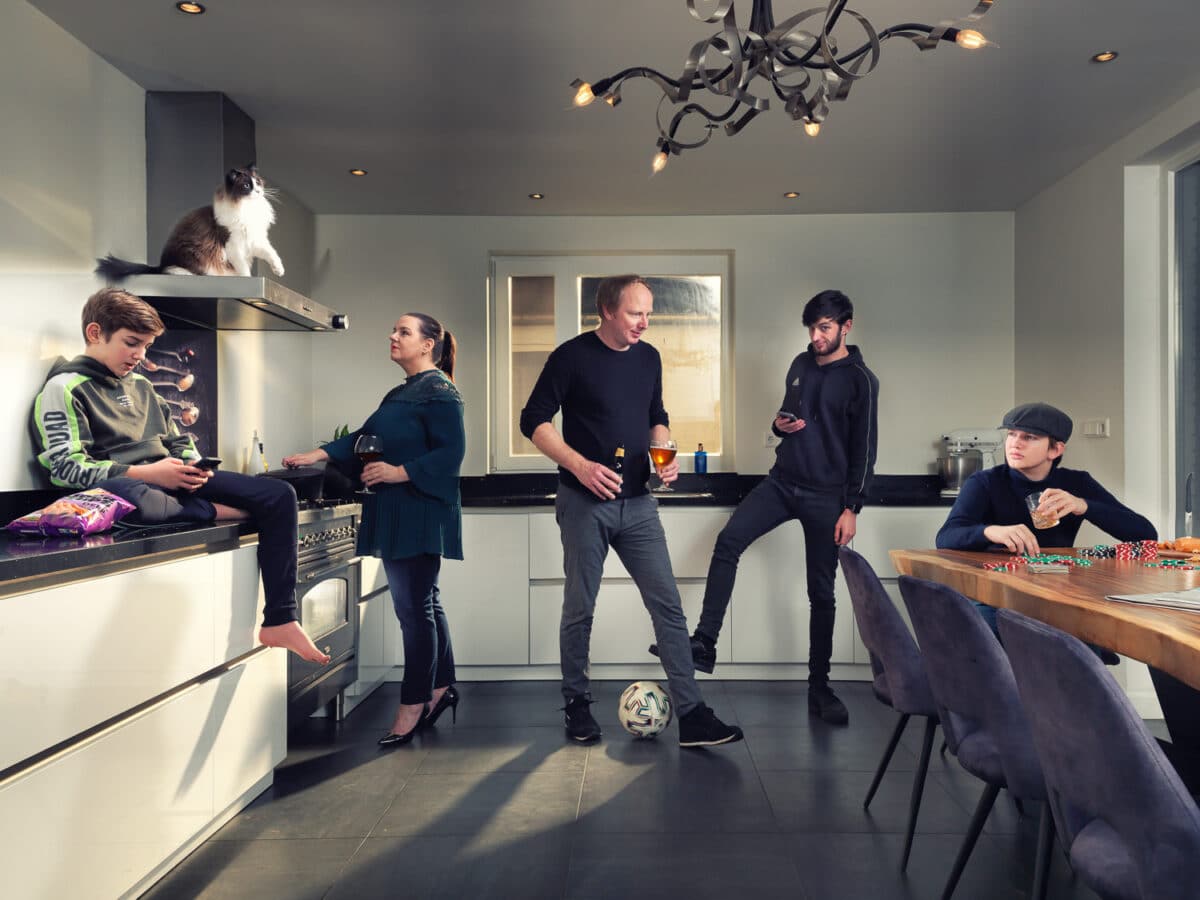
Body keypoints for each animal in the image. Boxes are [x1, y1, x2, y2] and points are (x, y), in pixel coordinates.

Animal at [96, 165, 283, 282]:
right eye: (246, 186)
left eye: (258, 183)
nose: (258, 191)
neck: (247, 209)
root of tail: (158, 264)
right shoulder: (233, 245)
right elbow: (244, 270)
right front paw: (247, 278)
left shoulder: (256, 240)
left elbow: (272, 254)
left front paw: (279, 270)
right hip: (192, 255)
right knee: (170, 270)